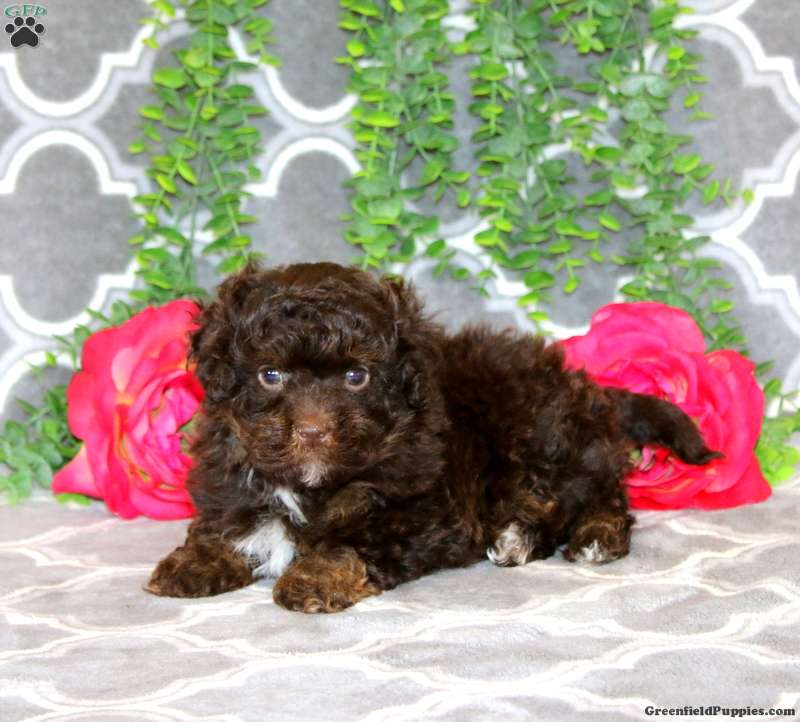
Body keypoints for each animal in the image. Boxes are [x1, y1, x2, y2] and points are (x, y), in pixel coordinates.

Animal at [145, 262, 719, 612]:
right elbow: (225, 523)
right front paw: (195, 562)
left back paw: (587, 536)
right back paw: (517, 537)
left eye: (357, 376)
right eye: (270, 375)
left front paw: (315, 577)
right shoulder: (231, 474)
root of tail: (587, 389)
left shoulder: (420, 512)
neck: (313, 485)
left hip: (546, 438)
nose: (312, 430)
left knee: (599, 494)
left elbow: (351, 540)